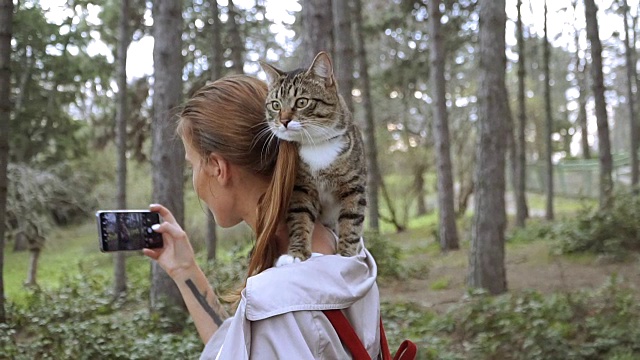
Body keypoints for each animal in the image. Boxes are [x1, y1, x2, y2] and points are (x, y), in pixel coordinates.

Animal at [260, 51, 368, 264]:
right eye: (275, 105)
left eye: (302, 102)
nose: (284, 121)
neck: (316, 145)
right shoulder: (301, 187)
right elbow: (300, 217)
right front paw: (296, 254)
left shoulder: (354, 186)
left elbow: (351, 221)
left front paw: (346, 255)